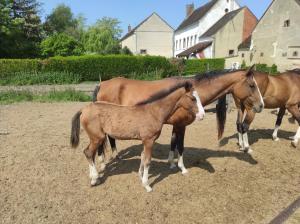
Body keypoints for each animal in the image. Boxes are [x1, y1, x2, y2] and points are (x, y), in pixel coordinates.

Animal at [70, 81, 203, 192]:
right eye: (192, 98)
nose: (202, 115)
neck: (153, 111)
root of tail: (84, 109)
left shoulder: (145, 140)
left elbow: (143, 156)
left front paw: (140, 176)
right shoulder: (149, 140)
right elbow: (147, 160)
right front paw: (147, 185)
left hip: (95, 138)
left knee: (89, 153)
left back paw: (93, 177)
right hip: (97, 137)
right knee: (88, 152)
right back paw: (94, 179)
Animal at [94, 65, 264, 174]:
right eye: (251, 85)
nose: (261, 105)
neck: (187, 96)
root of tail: (103, 84)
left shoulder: (176, 125)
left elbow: (173, 143)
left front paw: (171, 163)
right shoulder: (182, 125)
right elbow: (181, 146)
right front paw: (182, 168)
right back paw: (103, 163)